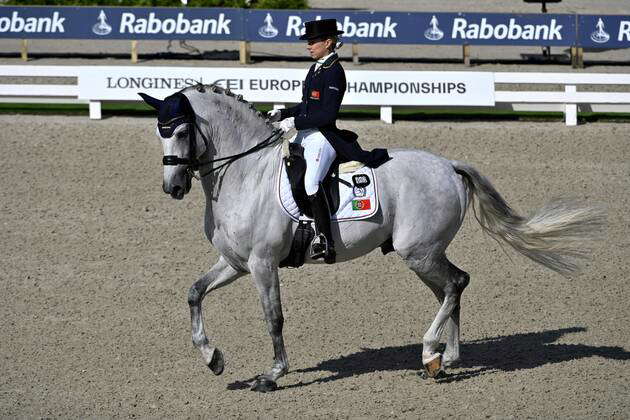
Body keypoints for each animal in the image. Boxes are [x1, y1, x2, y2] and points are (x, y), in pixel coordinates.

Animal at [139, 83, 608, 392]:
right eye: (158, 132)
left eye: (181, 131)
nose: (172, 187)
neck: (244, 172)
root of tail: (448, 165)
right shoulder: (236, 263)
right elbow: (194, 293)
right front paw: (212, 358)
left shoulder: (262, 264)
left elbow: (273, 318)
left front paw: (273, 375)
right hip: (424, 254)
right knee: (452, 288)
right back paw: (446, 358)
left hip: (418, 252)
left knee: (456, 284)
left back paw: (430, 354)